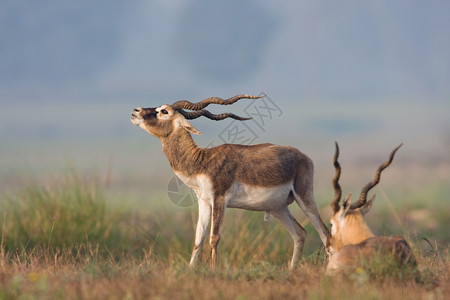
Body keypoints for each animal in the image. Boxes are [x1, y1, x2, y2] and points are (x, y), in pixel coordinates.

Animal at [130, 94, 330, 270]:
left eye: (164, 111)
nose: (136, 111)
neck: (202, 161)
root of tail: (302, 156)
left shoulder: (219, 199)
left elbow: (214, 238)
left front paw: (213, 271)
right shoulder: (204, 202)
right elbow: (198, 239)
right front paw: (190, 270)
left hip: (304, 197)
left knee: (325, 233)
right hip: (278, 207)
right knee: (300, 234)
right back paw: (291, 270)